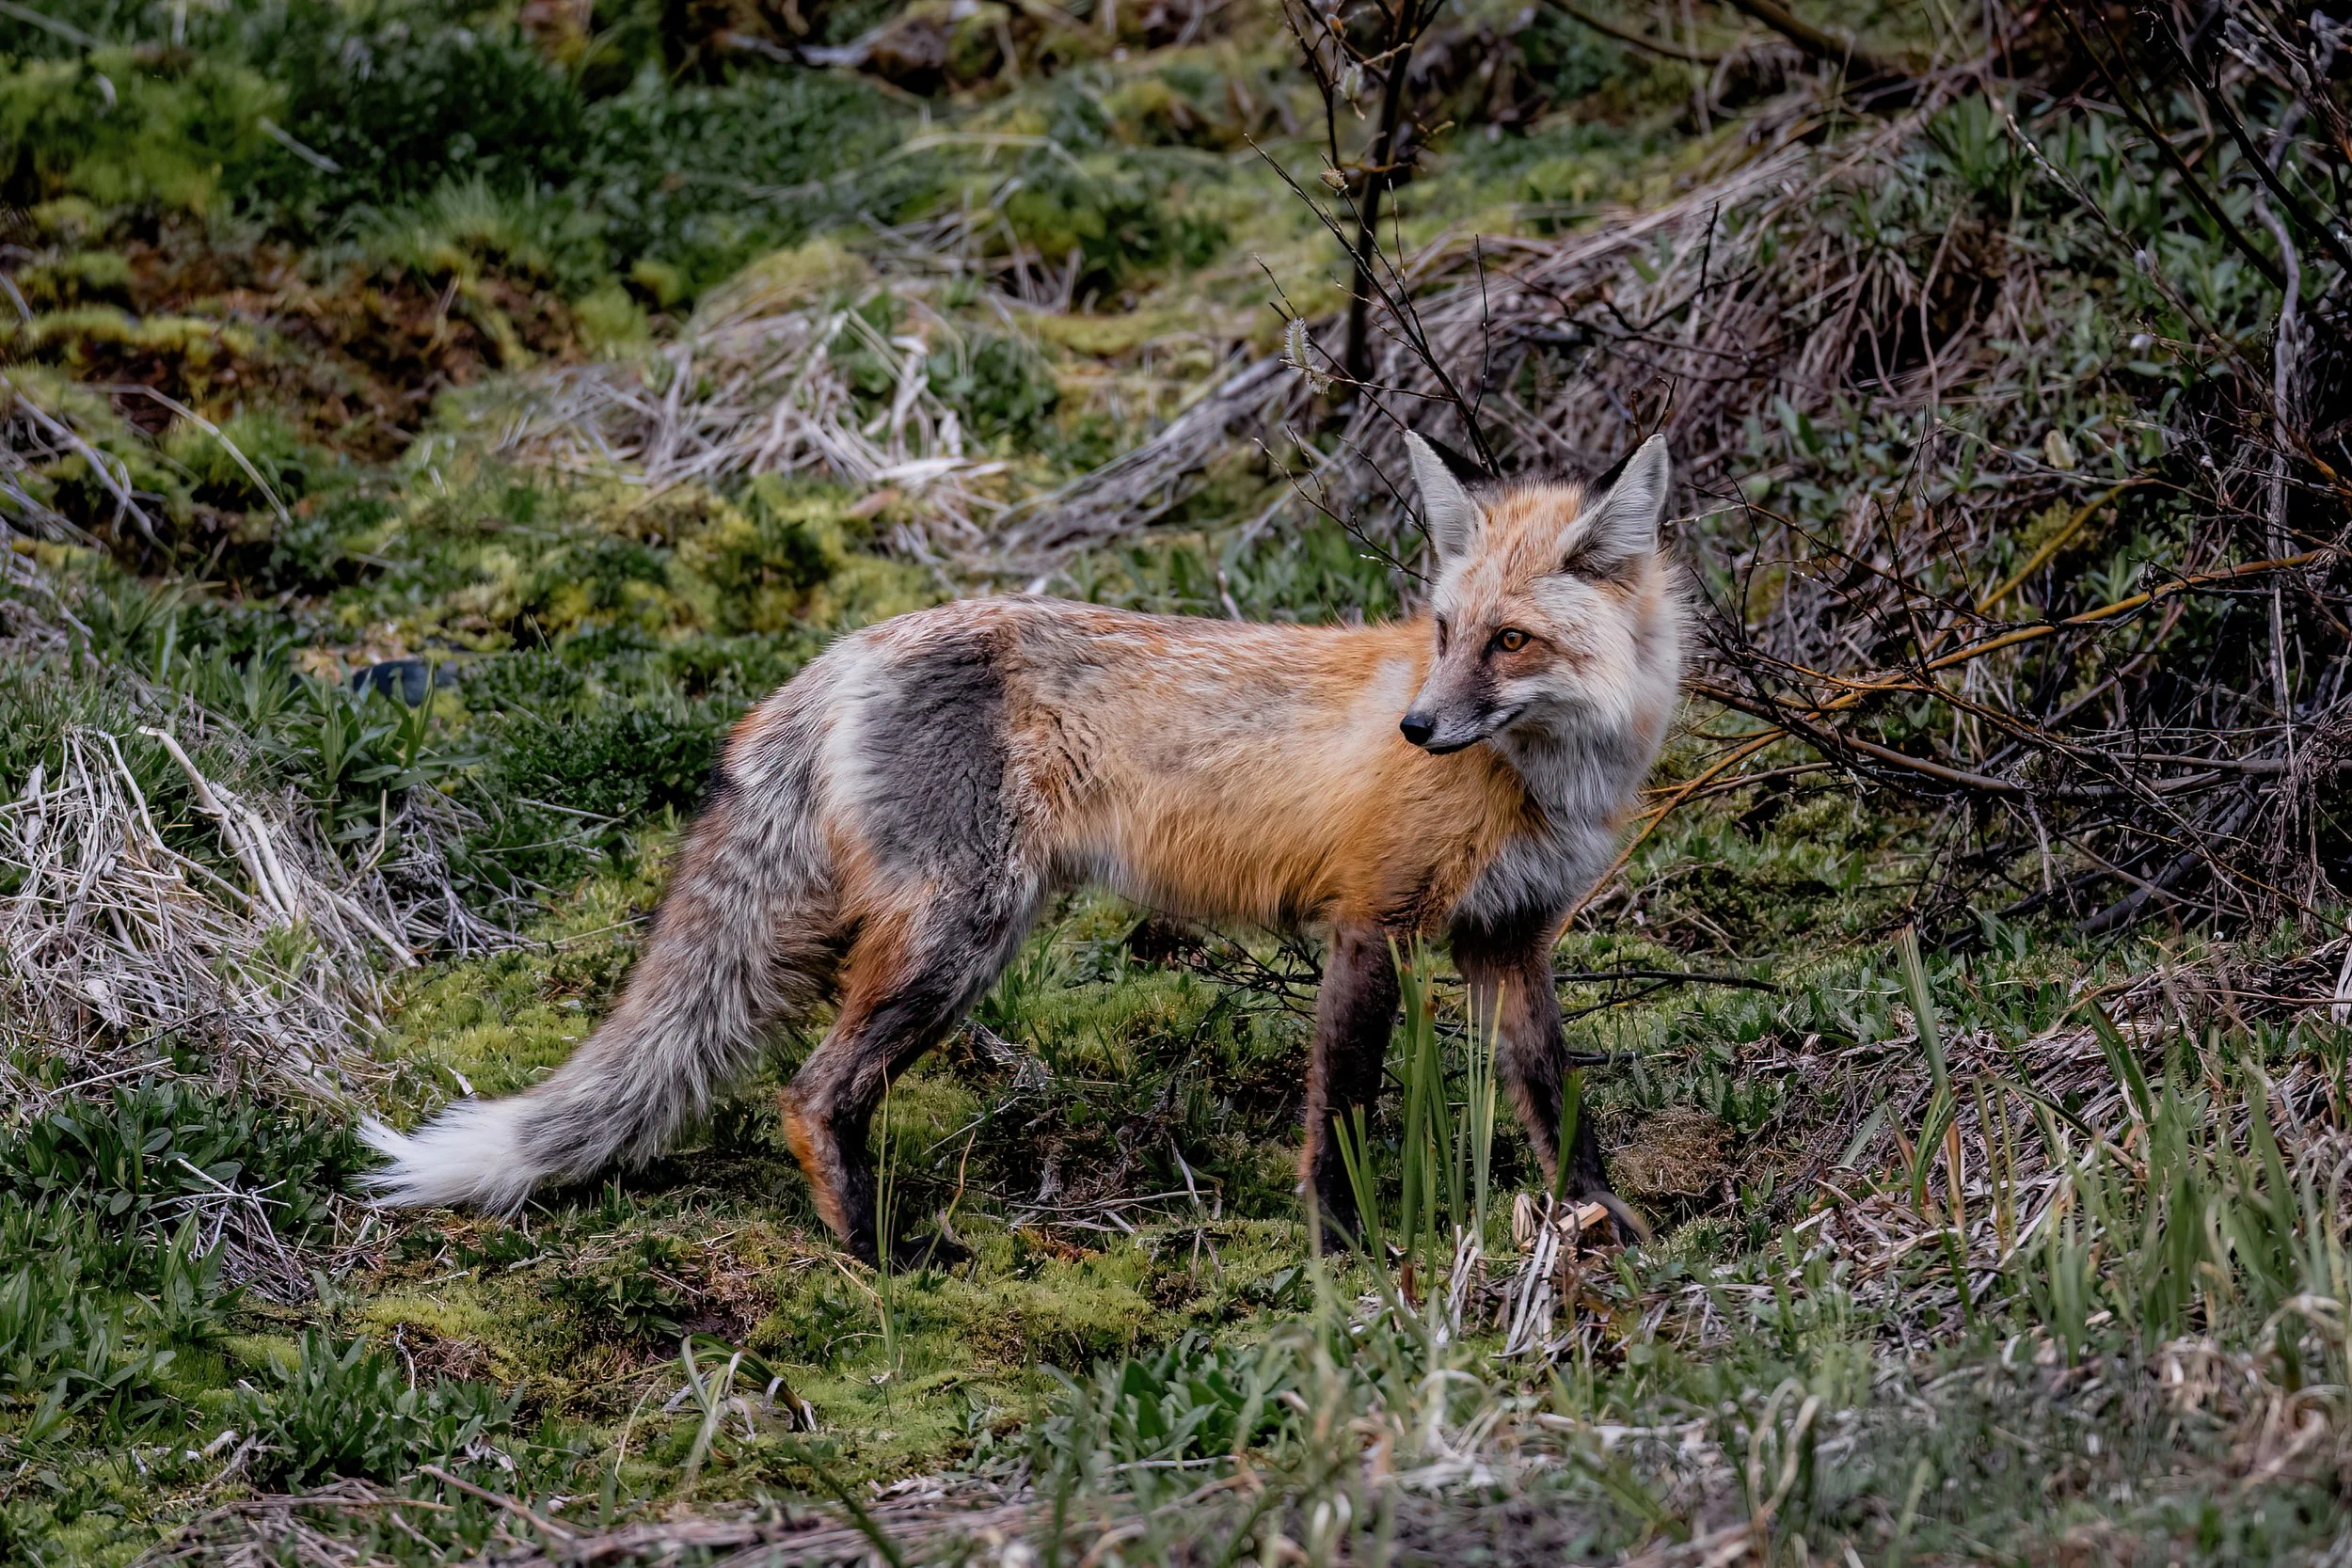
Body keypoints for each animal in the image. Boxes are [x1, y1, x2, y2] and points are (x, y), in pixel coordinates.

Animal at [363, 430, 1686, 1262]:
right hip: (963, 932)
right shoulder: (1372, 921)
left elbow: (1555, 1093)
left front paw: (1602, 1223)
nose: (1416, 729)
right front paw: (1343, 1252)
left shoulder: (1509, 938)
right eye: (1445, 629)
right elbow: (1343, 1113)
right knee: (811, 1090)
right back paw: (886, 1255)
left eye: (1509, 642)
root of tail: (845, 646)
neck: (1545, 780)